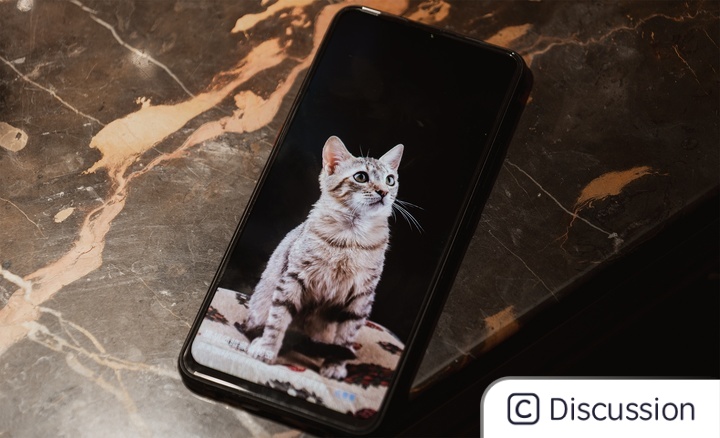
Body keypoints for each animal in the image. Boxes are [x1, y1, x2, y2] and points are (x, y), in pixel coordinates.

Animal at [239, 135, 403, 380]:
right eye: (361, 177)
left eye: (390, 180)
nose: (384, 191)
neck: (351, 240)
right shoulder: (294, 278)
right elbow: (278, 318)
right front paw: (267, 348)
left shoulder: (362, 296)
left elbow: (346, 336)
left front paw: (335, 365)